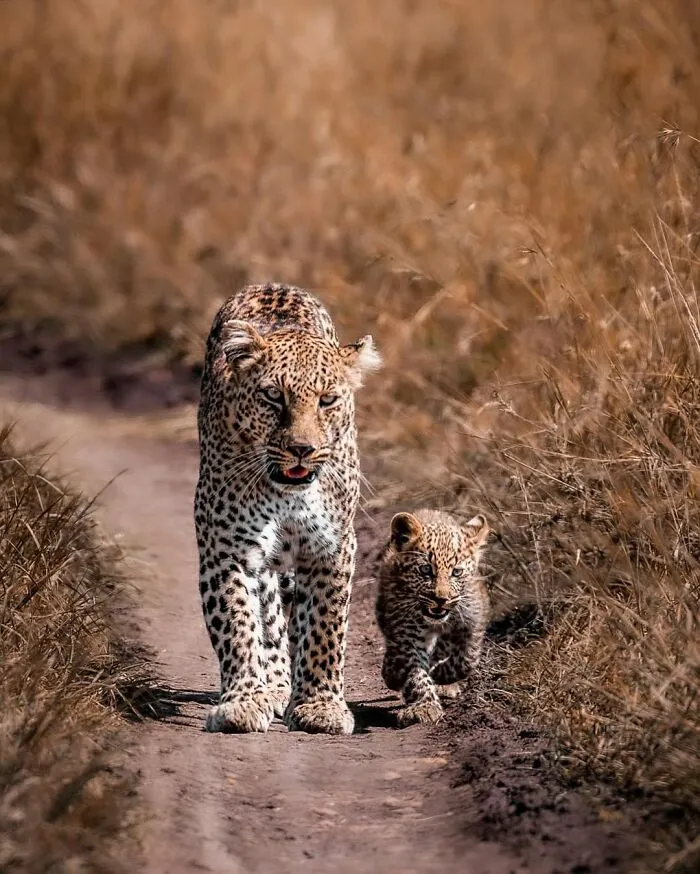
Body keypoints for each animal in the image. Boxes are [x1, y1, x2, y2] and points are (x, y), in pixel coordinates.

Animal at [194, 283, 380, 735]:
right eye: (272, 396)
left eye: (327, 400)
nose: (302, 449)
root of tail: (273, 285)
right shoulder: (226, 548)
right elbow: (237, 623)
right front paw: (243, 701)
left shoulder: (331, 548)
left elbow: (325, 627)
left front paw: (320, 706)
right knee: (270, 617)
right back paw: (274, 686)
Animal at [375, 508, 490, 727]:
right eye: (426, 570)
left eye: (457, 572)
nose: (441, 599)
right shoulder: (406, 632)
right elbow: (415, 671)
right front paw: (424, 706)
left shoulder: (473, 623)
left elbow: (466, 660)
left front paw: (439, 674)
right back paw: (392, 673)